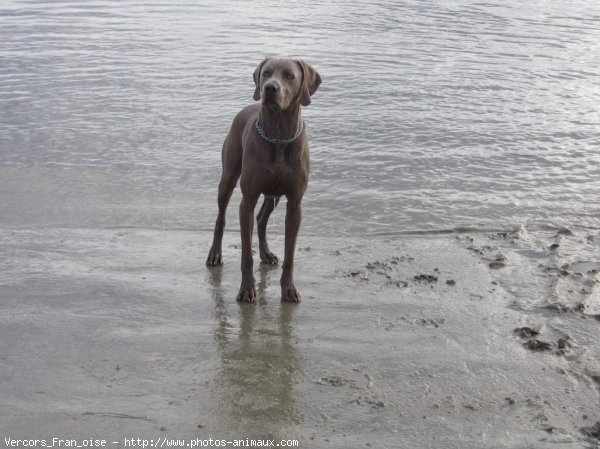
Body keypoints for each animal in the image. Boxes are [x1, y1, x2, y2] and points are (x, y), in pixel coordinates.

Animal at [206, 56, 322, 300]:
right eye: (266, 73)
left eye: (289, 75)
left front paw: (288, 289)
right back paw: (215, 254)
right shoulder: (247, 200)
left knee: (261, 219)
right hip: (228, 177)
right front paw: (246, 289)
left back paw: (266, 253)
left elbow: (290, 254)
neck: (278, 134)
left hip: (273, 194)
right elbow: (245, 254)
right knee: (221, 217)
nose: (269, 88)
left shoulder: (295, 204)